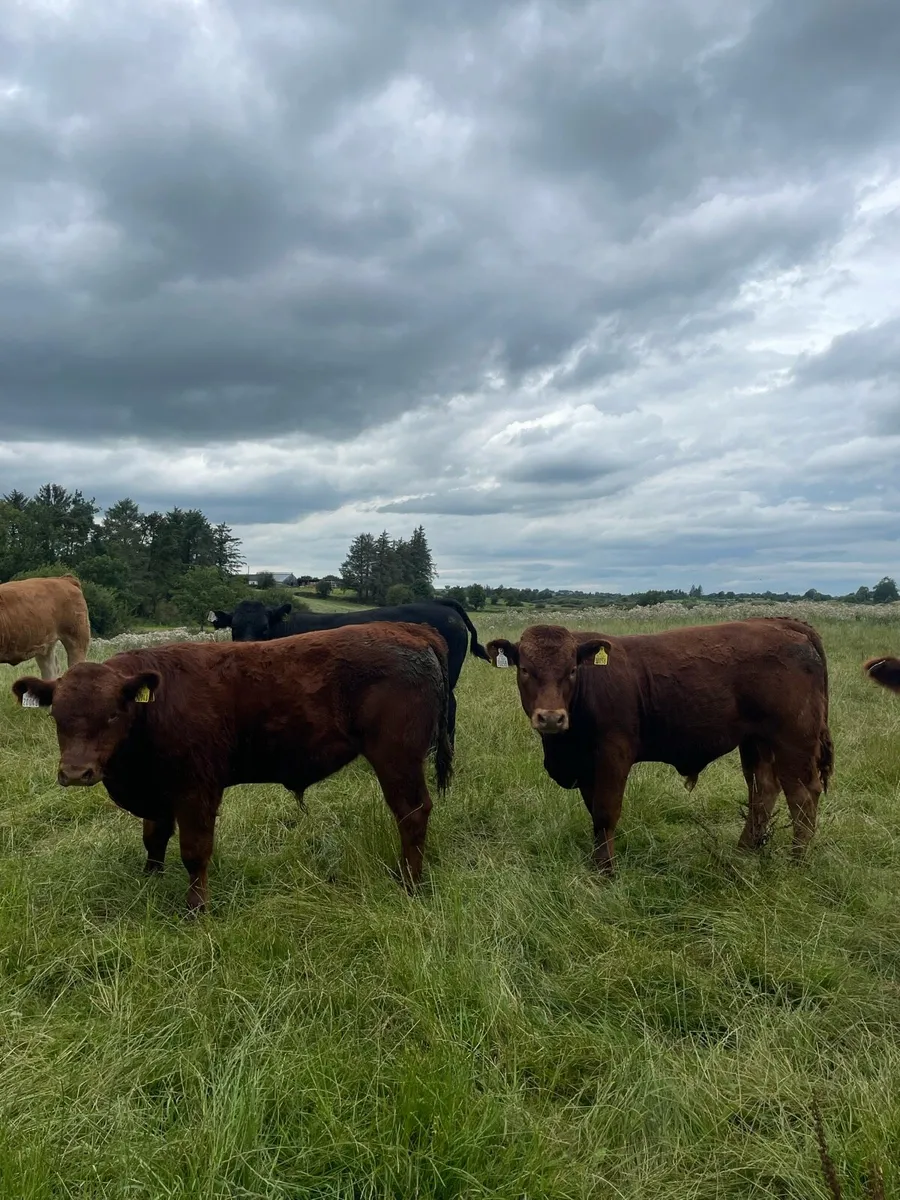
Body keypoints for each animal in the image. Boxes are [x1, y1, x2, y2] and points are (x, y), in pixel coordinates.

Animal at [12, 621, 453, 913]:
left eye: (111, 715)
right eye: (57, 716)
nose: (75, 773)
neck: (153, 710)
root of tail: (411, 631)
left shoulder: (196, 791)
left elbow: (194, 851)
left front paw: (196, 909)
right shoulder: (159, 793)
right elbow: (153, 839)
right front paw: (150, 880)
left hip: (397, 760)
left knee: (413, 813)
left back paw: (409, 884)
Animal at [486, 618, 832, 874]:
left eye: (571, 670)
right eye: (525, 669)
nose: (551, 717)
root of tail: (779, 623)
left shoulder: (613, 755)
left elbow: (605, 812)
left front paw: (605, 872)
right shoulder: (586, 768)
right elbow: (593, 813)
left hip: (793, 741)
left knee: (803, 797)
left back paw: (796, 863)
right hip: (756, 742)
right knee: (763, 790)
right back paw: (744, 851)